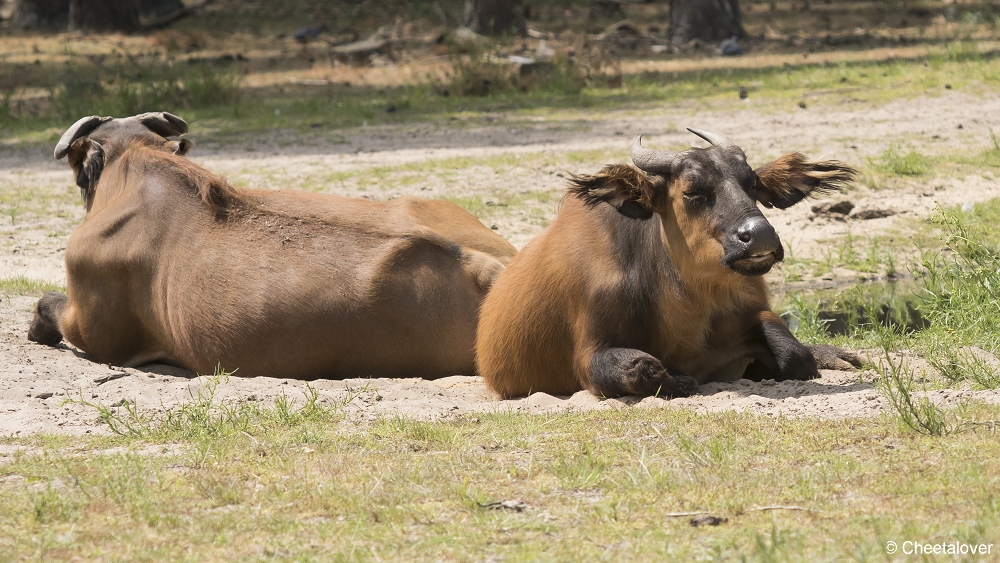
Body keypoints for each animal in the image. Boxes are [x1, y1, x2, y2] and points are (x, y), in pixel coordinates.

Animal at [474, 130, 860, 398]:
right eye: (692, 191)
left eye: (752, 184)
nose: (760, 236)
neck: (684, 305)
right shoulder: (590, 354)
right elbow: (644, 368)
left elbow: (794, 353)